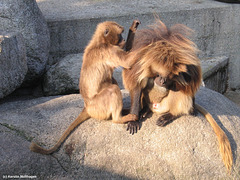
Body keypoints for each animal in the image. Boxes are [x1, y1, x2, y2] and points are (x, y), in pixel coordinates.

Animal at [29, 20, 141, 155]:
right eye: (120, 34)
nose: (123, 39)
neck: (100, 41)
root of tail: (87, 106)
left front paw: (134, 28)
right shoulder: (108, 50)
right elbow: (127, 62)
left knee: (111, 80)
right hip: (98, 105)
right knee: (112, 89)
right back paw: (118, 119)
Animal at [122, 19, 232, 170]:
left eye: (167, 76)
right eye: (158, 75)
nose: (162, 80)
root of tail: (155, 108)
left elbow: (188, 81)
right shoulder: (141, 60)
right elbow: (138, 84)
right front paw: (133, 119)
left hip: (166, 105)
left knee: (180, 90)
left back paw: (172, 114)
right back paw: (144, 110)